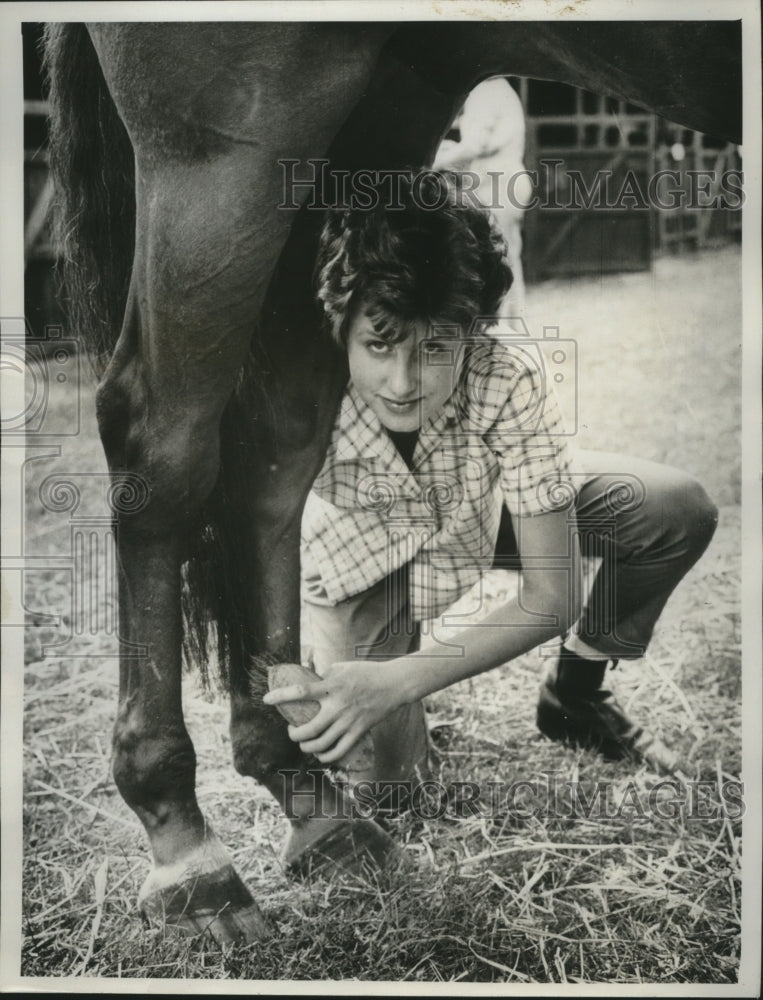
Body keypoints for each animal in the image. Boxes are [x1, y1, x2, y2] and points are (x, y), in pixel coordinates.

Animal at [41, 17, 740, 944]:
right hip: (222, 141)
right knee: (164, 445)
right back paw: (189, 850)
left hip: (371, 108)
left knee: (276, 442)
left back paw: (309, 794)